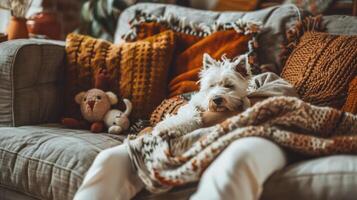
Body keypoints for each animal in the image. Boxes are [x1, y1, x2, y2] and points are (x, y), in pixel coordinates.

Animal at [151, 53, 298, 138]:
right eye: (211, 85)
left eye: (229, 86)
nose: (217, 99)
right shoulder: (193, 106)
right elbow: (187, 115)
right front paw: (167, 127)